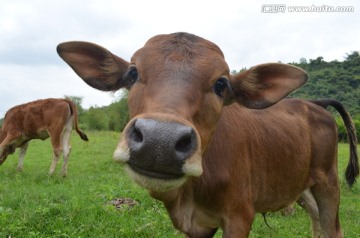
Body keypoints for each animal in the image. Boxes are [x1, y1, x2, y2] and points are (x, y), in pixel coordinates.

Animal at [57, 32, 358, 237]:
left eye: (221, 84)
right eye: (133, 73)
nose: (159, 141)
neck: (188, 196)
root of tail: (314, 104)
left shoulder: (239, 216)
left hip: (328, 182)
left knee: (333, 228)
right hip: (301, 186)